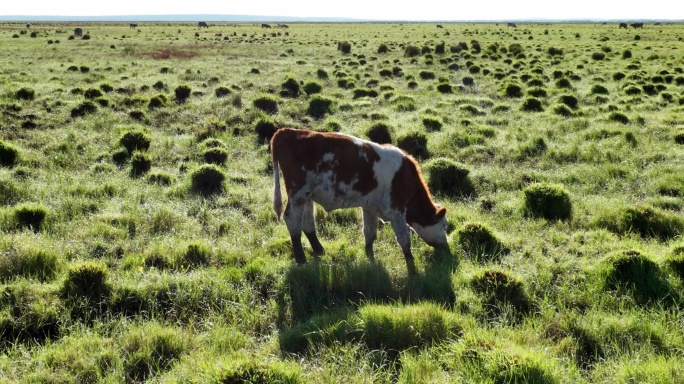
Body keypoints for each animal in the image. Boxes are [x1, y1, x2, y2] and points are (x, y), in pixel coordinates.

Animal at [270, 129, 452, 276]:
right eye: (444, 225)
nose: (446, 247)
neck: (406, 176)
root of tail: (287, 131)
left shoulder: (370, 207)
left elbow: (370, 233)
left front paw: (371, 260)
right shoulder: (397, 210)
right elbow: (404, 240)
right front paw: (412, 271)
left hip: (307, 196)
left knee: (307, 223)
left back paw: (319, 250)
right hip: (298, 193)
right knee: (292, 220)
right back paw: (301, 259)